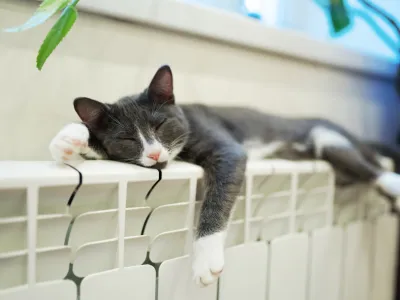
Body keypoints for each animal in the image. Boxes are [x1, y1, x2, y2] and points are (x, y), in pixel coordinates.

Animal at [49, 65, 400, 286]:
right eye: (127, 138)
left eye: (161, 125)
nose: (155, 154)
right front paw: (69, 140)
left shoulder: (226, 149)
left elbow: (216, 199)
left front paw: (205, 257)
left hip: (328, 138)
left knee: (373, 167)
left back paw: (392, 182)